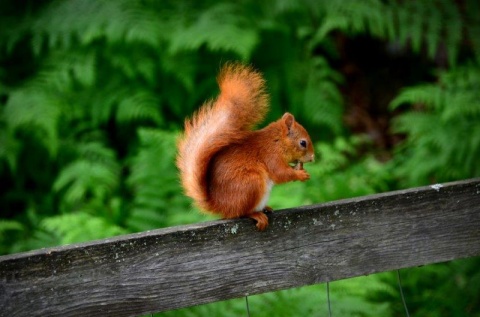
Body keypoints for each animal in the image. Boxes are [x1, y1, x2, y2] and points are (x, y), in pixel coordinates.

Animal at [176, 62, 316, 230]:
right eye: (303, 143)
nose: (313, 157)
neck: (277, 141)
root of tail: (220, 205)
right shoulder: (271, 155)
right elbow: (280, 173)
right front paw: (301, 174)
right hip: (251, 184)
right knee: (240, 212)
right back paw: (255, 214)